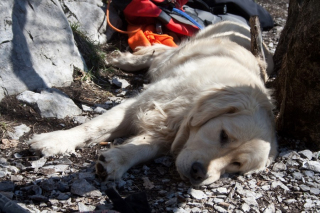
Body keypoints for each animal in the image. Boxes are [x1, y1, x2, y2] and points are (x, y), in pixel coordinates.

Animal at [28, 20, 278, 186]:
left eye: (237, 165)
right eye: (223, 135)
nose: (199, 173)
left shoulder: (167, 133)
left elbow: (144, 147)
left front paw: (116, 160)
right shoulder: (138, 104)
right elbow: (93, 126)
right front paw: (54, 140)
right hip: (180, 53)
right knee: (157, 53)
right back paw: (121, 59)